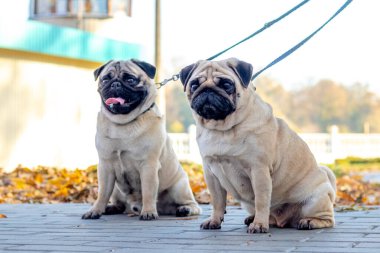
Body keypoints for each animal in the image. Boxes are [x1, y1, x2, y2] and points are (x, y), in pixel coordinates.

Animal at [81, 59, 200, 219]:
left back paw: (184, 209)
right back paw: (112, 207)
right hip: (116, 189)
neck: (123, 123)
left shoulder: (148, 166)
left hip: (179, 187)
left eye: (130, 80)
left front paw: (148, 212)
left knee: (193, 204)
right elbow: (102, 193)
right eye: (105, 79)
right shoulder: (106, 166)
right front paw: (96, 210)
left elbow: (148, 191)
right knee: (120, 203)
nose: (115, 84)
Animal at [180, 57, 336, 233]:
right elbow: (217, 202)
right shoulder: (211, 174)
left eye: (226, 84)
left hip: (315, 200)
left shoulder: (259, 170)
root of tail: (284, 221)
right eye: (194, 85)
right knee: (269, 216)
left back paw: (309, 221)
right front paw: (214, 220)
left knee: (328, 219)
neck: (222, 129)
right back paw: (254, 219)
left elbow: (261, 200)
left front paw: (259, 225)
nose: (207, 90)